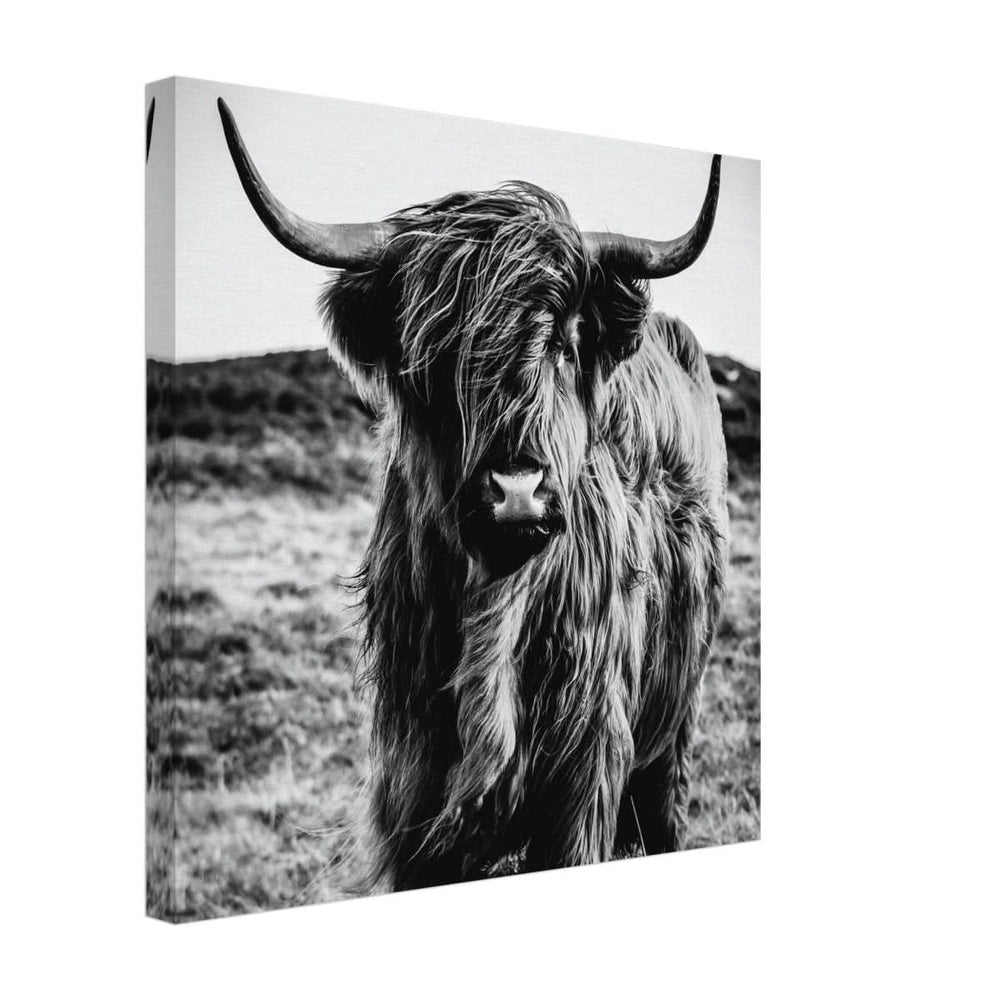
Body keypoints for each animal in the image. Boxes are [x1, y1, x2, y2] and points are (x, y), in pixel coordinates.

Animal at [218, 98, 730, 891]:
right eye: (434, 350)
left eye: (564, 340)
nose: (517, 490)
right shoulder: (413, 783)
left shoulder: (584, 774)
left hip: (673, 725)